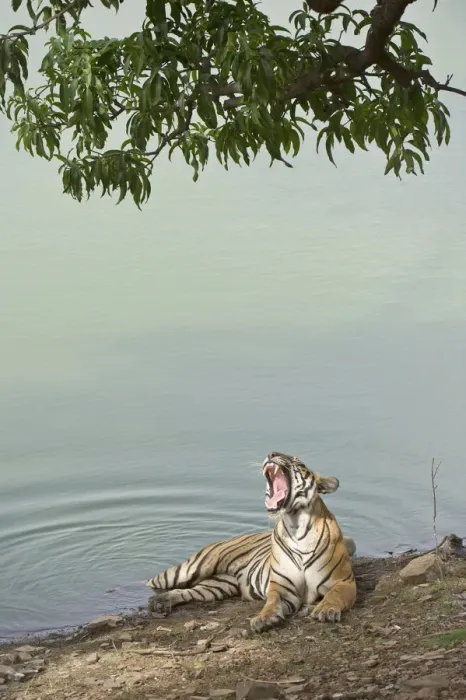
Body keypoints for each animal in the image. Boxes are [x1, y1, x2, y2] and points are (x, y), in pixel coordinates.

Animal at [147, 451, 357, 632]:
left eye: (299, 462)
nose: (272, 453)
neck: (296, 526)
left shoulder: (344, 582)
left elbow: (334, 595)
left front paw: (325, 609)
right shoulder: (281, 587)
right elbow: (271, 602)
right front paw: (263, 618)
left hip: (218, 585)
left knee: (192, 590)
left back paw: (162, 602)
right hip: (189, 569)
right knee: (156, 582)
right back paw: (158, 601)